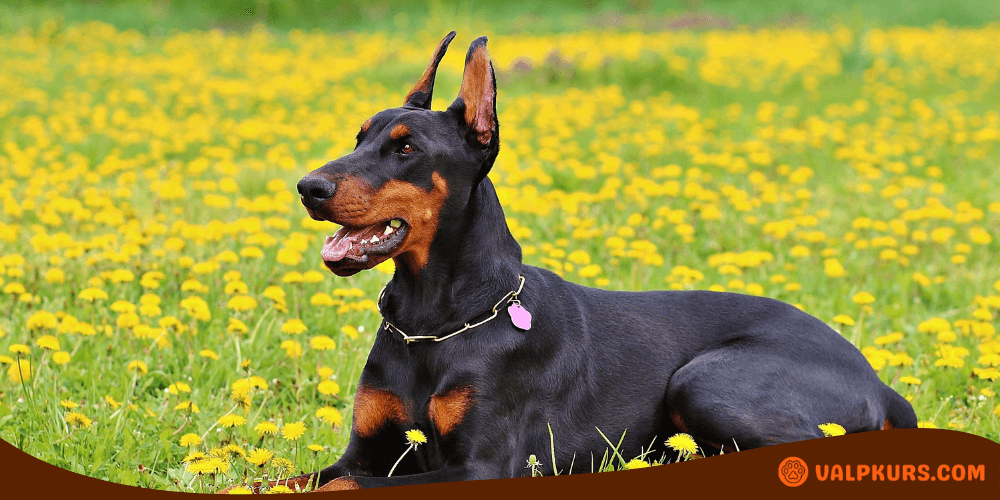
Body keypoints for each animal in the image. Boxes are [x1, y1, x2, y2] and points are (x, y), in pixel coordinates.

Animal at [254, 32, 916, 492]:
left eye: (406, 148)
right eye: (360, 136)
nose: (308, 187)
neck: (434, 321)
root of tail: (878, 381)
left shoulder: (483, 466)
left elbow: (345, 485)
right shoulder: (367, 449)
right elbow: (287, 478)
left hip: (707, 380)